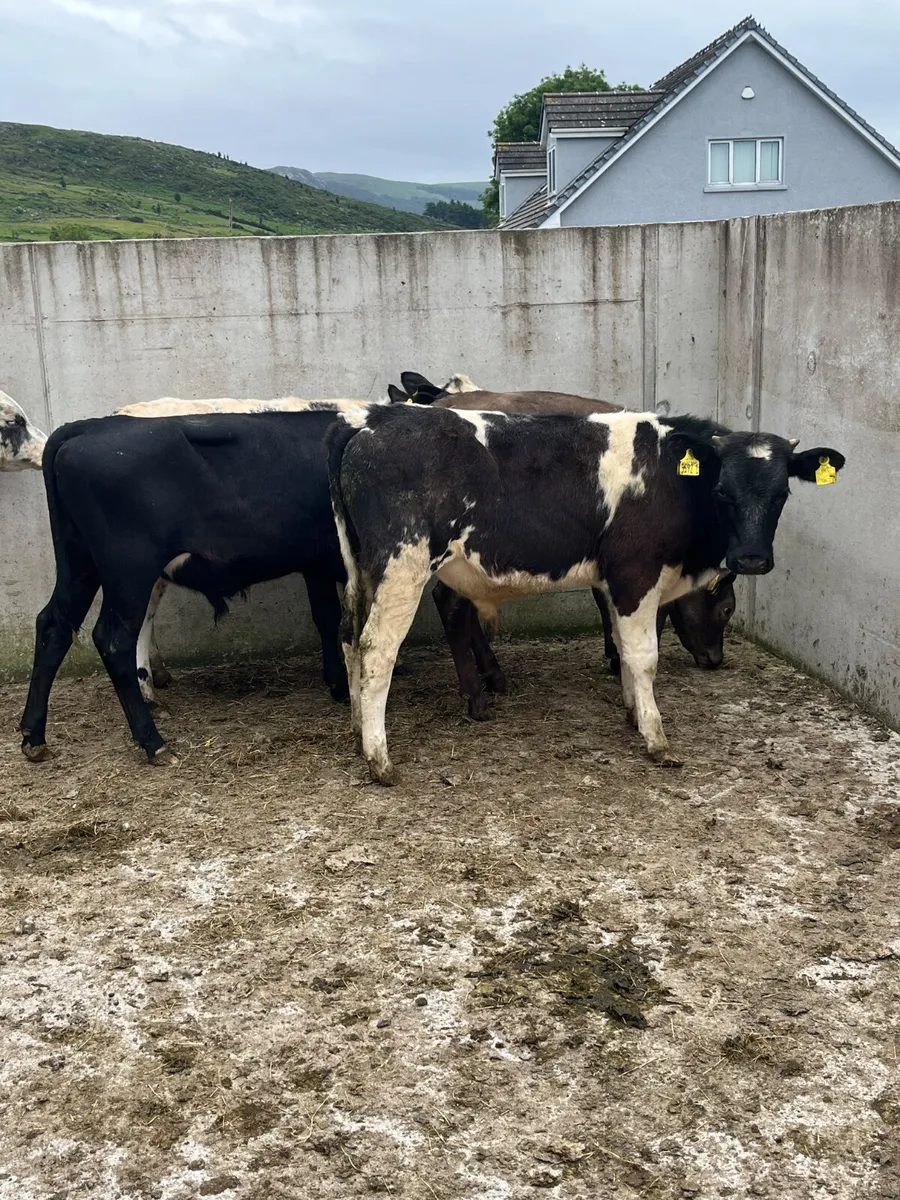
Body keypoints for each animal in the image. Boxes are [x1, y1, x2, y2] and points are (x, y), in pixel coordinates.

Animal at [326, 404, 845, 784]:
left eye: (781, 494)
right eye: (721, 491)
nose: (752, 559)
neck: (671, 477)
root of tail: (372, 422)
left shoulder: (615, 582)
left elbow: (622, 647)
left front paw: (634, 712)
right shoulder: (636, 574)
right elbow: (644, 656)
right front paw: (656, 738)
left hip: (361, 572)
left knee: (348, 635)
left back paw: (355, 730)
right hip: (402, 567)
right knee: (376, 649)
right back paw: (379, 758)